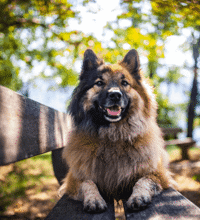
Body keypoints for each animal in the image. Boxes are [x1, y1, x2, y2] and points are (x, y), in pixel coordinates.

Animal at [58, 49, 176, 212]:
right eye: (99, 83)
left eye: (124, 83)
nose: (115, 95)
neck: (113, 136)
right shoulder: (74, 180)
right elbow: (88, 183)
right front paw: (94, 199)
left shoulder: (158, 174)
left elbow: (142, 181)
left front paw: (138, 197)